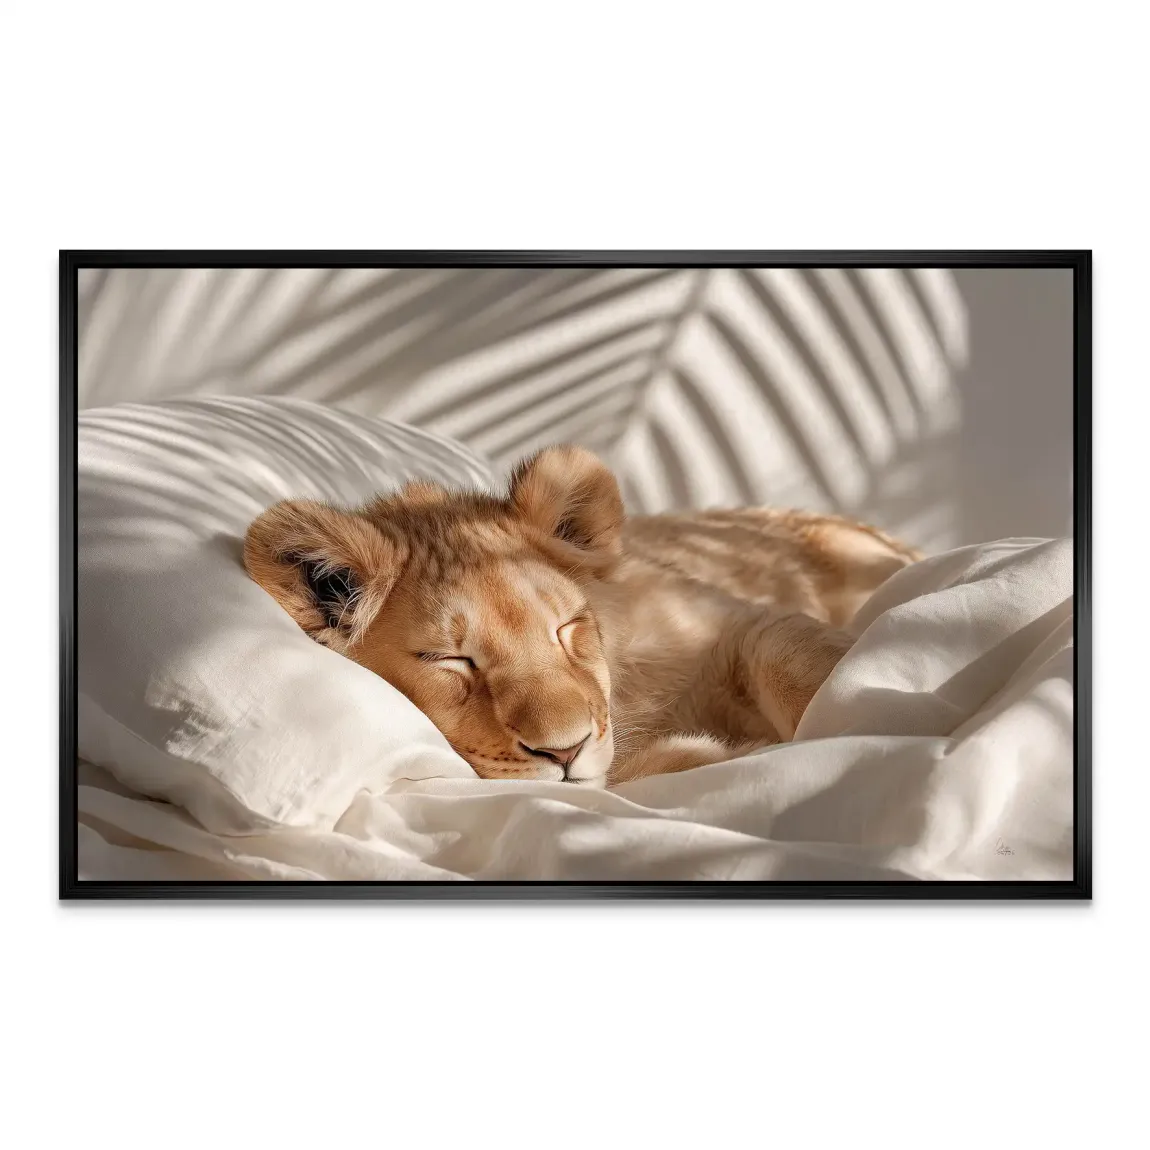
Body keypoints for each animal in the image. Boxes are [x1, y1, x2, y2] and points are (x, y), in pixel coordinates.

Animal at [243, 445, 921, 787]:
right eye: (450, 660)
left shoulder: (728, 620)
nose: (564, 751)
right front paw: (724, 755)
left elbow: (790, 654)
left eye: (566, 629)